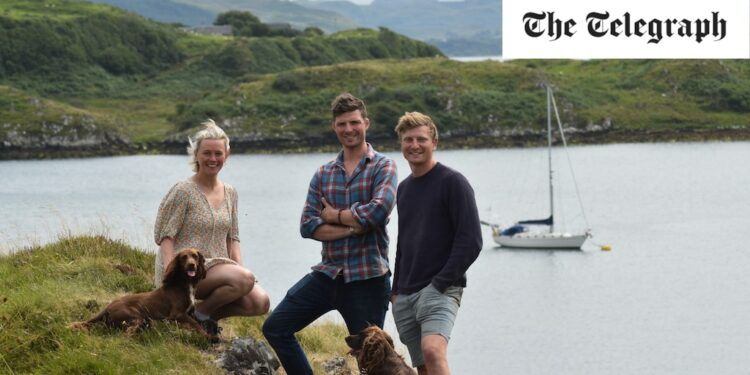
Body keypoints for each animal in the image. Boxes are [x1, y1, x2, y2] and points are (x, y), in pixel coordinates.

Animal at [70, 248, 217, 342]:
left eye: (195, 256)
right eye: (184, 257)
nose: (192, 265)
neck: (183, 284)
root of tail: (107, 308)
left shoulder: (189, 313)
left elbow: (197, 322)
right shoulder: (176, 314)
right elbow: (195, 324)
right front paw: (209, 337)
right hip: (137, 317)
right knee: (127, 334)